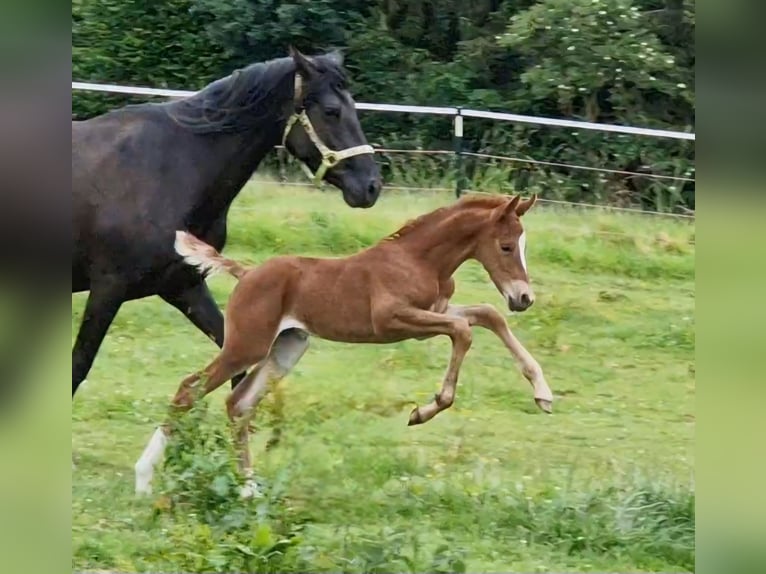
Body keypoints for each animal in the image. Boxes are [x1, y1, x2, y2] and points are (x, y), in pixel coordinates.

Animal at [71, 47, 380, 398]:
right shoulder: (108, 287)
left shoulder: (184, 285)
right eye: (331, 111)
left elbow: (235, 364)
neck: (170, 171)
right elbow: (78, 367)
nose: (371, 185)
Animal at [135, 195, 556, 500]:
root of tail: (247, 273)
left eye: (523, 245)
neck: (419, 260)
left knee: (238, 403)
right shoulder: (393, 320)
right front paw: (425, 410)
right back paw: (144, 480)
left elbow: (487, 315)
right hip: (246, 346)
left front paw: (543, 393)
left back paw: (250, 489)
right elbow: (463, 332)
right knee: (190, 388)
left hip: (286, 349)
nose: (524, 298)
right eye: (506, 246)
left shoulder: (433, 313)